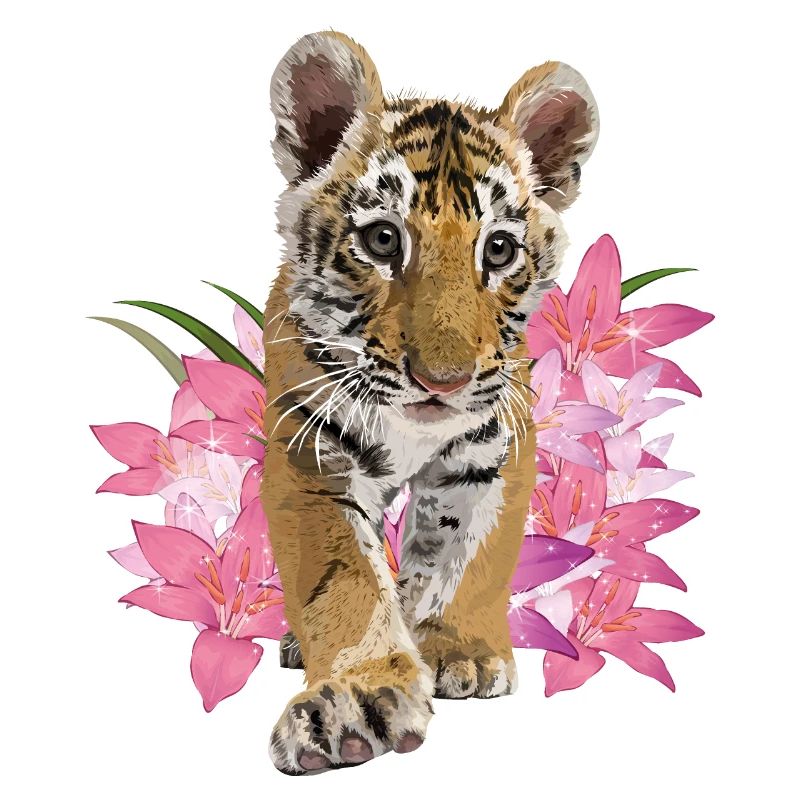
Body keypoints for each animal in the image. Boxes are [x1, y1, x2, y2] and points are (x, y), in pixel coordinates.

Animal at [261, 31, 598, 774]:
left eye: (498, 250)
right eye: (383, 239)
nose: (442, 381)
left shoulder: (494, 447)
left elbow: (467, 554)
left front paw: (459, 650)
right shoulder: (312, 455)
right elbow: (347, 579)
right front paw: (355, 700)